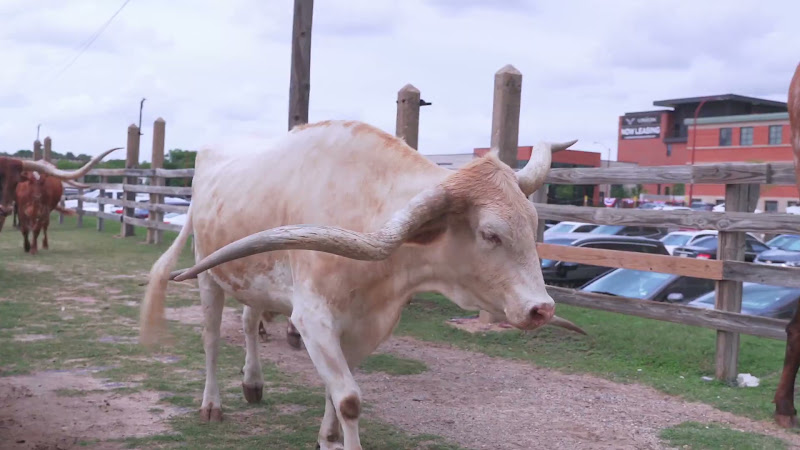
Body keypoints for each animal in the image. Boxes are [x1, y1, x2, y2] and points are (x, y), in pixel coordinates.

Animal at [139, 120, 585, 450]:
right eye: (489, 234)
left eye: (533, 223)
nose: (542, 309)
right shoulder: (313, 319)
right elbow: (349, 399)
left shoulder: (365, 325)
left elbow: (335, 391)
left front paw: (328, 436)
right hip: (208, 274)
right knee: (212, 338)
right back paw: (212, 405)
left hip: (253, 279)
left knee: (249, 323)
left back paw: (253, 383)